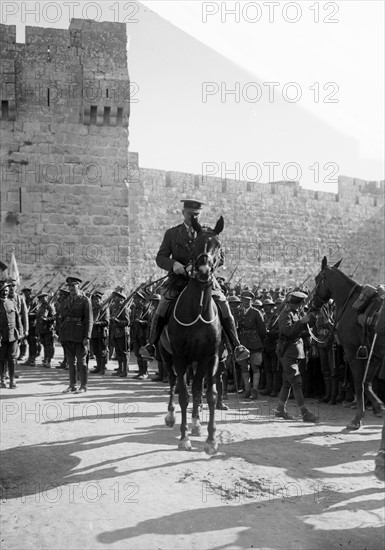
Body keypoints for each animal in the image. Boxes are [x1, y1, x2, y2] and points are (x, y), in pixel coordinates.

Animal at [160, 217, 224, 458]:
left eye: (218, 245)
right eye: (194, 245)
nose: (204, 271)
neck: (198, 309)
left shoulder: (211, 357)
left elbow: (210, 394)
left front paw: (211, 440)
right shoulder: (180, 357)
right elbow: (184, 395)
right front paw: (184, 438)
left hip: (198, 362)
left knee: (197, 387)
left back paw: (196, 423)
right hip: (166, 356)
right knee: (172, 382)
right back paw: (171, 416)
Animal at [312, 256, 384, 434]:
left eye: (317, 279)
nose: (311, 304)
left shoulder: (353, 353)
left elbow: (359, 384)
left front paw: (357, 419)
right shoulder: (374, 354)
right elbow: (367, 383)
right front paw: (379, 407)